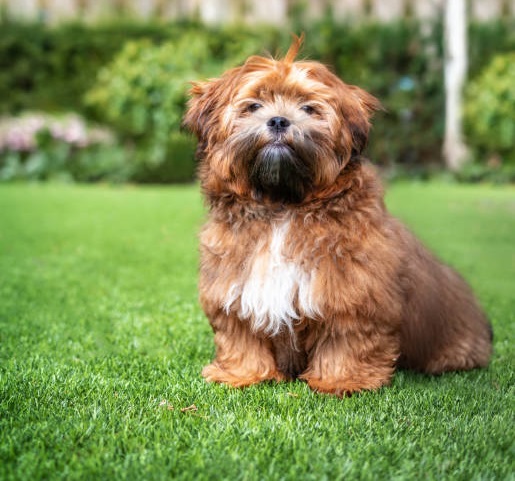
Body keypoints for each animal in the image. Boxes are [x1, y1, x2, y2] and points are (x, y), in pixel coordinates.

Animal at [183, 34, 494, 394]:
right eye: (254, 106)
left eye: (308, 108)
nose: (278, 120)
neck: (282, 207)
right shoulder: (233, 286)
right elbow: (241, 335)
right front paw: (242, 374)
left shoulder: (353, 292)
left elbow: (346, 338)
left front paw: (340, 380)